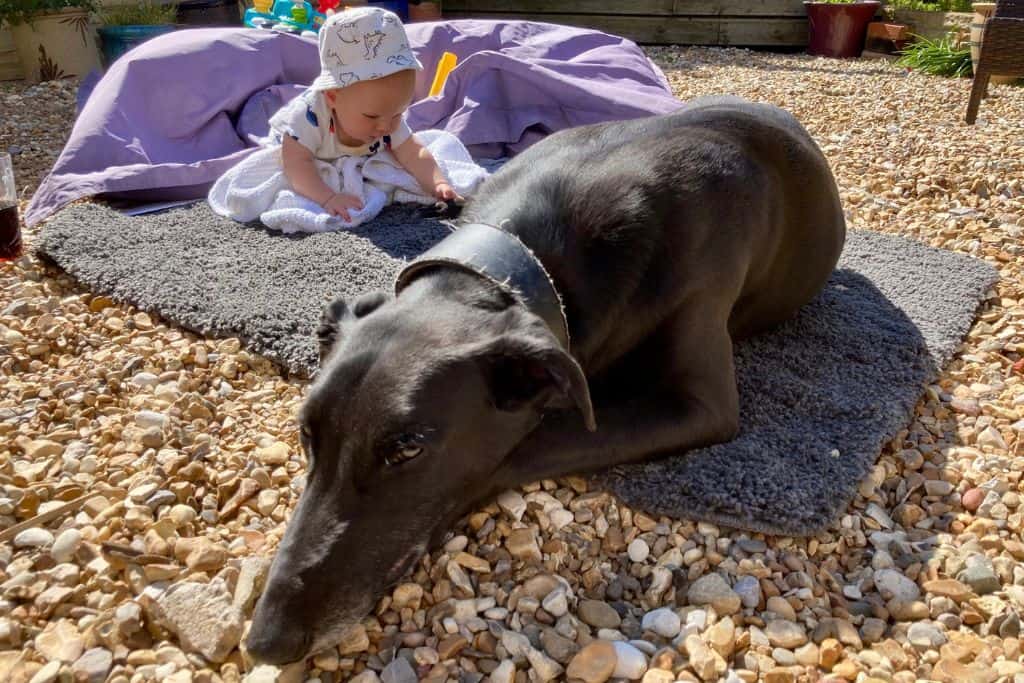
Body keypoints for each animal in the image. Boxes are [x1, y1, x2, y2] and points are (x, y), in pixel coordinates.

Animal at [243, 94, 843, 663]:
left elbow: (525, 446)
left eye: (408, 450)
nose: (264, 642)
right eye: (305, 434)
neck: (522, 258)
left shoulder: (700, 403)